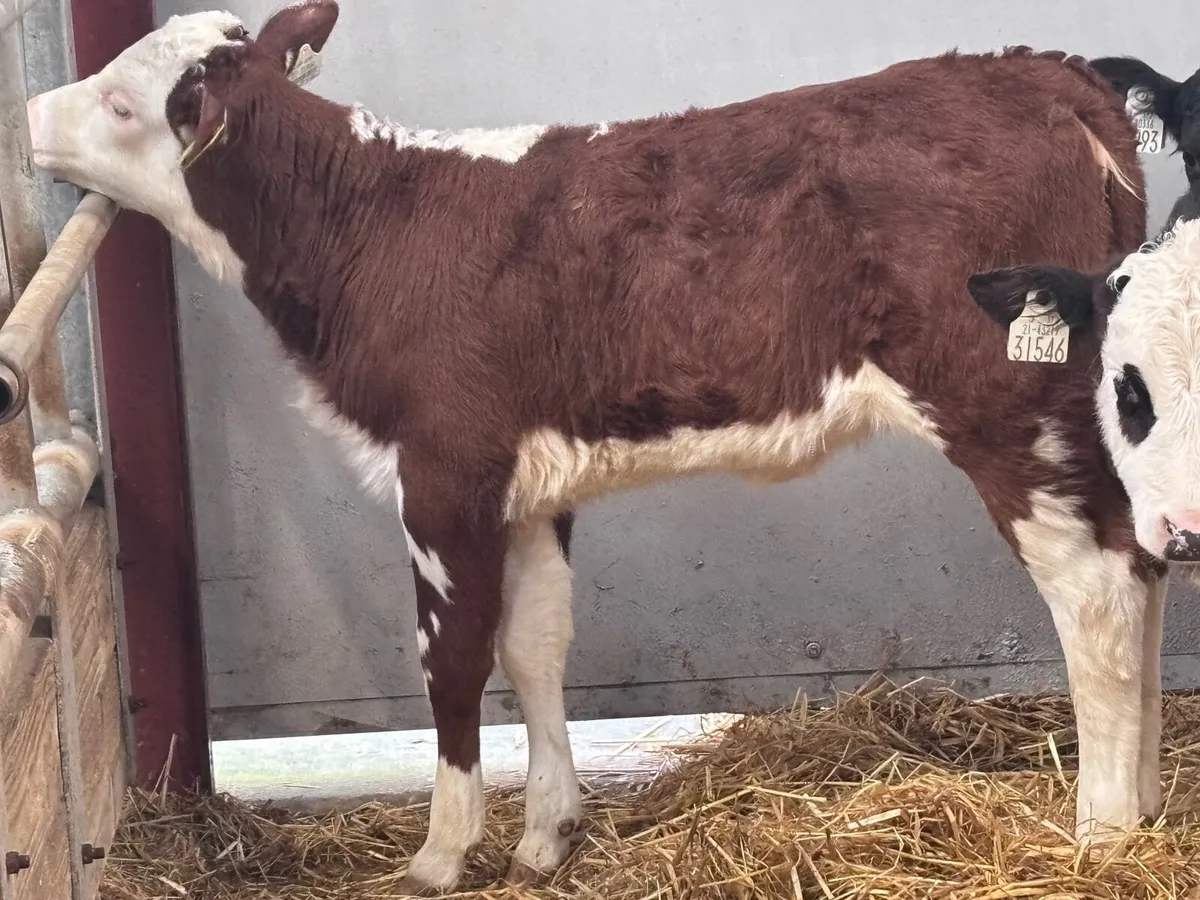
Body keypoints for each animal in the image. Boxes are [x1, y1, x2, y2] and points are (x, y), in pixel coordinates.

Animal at [23, 1, 1172, 892]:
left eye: (124, 104)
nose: (29, 114)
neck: (373, 229)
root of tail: (1046, 72)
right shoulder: (529, 483)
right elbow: (536, 644)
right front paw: (546, 835)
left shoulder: (443, 470)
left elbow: (451, 661)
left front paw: (442, 855)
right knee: (1146, 559)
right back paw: (1153, 805)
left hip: (1006, 408)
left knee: (1097, 589)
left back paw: (1103, 830)